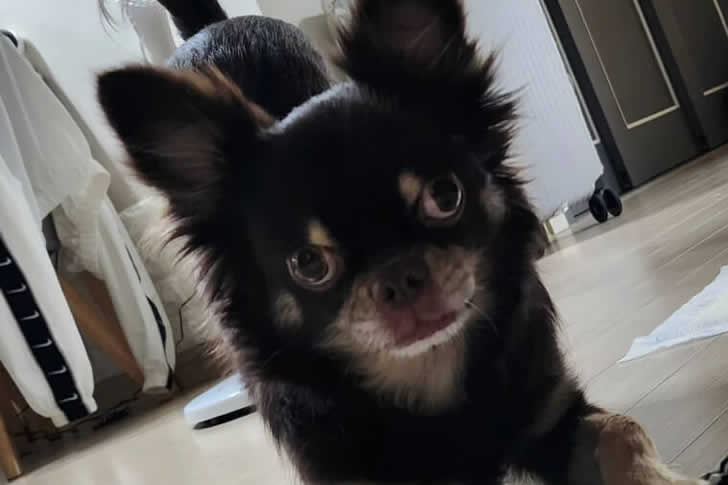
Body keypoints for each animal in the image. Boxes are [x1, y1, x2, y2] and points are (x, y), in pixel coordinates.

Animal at [97, 0, 706, 483]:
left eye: (445, 196)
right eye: (308, 264)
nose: (399, 275)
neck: (429, 376)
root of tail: (211, 26)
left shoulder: (554, 416)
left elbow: (623, 431)